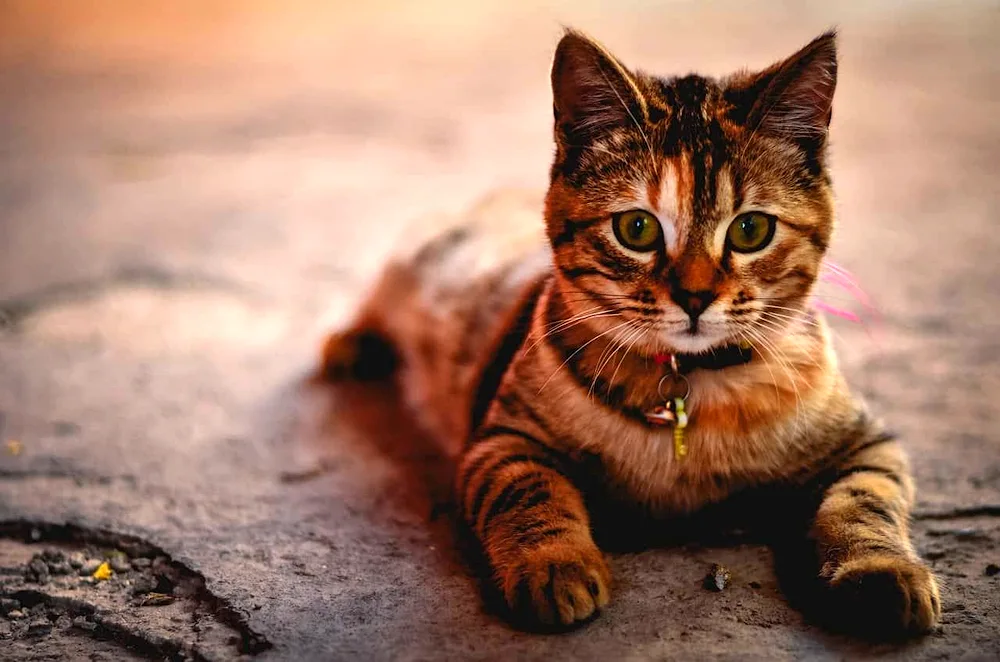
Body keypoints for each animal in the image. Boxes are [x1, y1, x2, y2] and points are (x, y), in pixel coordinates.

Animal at [320, 27, 936, 640]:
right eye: (636, 228)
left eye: (751, 229)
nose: (695, 297)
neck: (692, 393)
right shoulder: (502, 440)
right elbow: (531, 492)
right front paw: (555, 565)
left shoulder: (866, 443)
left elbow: (864, 502)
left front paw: (883, 570)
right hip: (419, 260)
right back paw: (351, 345)